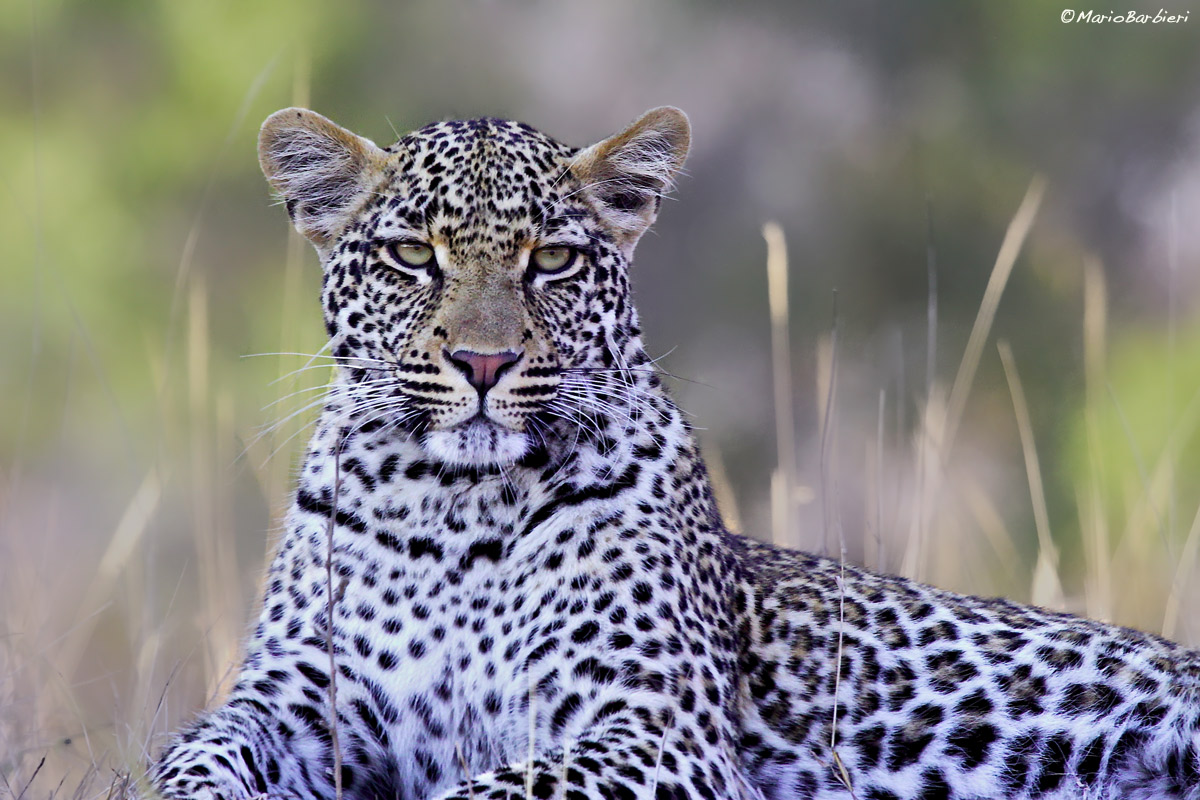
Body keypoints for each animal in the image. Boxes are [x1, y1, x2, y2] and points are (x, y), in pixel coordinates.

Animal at [149, 104, 1200, 800]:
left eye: (552, 261)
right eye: (413, 256)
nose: (483, 361)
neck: (453, 506)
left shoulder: (656, 731)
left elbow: (491, 790)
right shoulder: (294, 703)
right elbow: (188, 754)